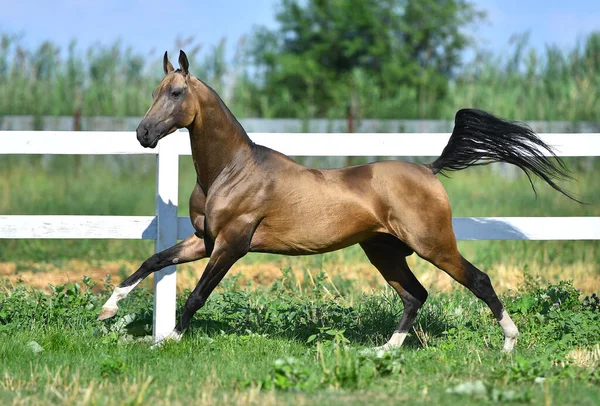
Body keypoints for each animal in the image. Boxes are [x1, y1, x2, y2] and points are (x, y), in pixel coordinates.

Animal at [99, 50, 580, 352]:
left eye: (176, 93)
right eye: (155, 92)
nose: (143, 134)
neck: (231, 171)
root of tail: (428, 170)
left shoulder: (232, 245)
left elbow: (197, 295)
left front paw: (168, 340)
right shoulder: (204, 240)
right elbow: (153, 261)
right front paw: (108, 309)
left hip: (434, 245)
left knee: (477, 280)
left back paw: (509, 343)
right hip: (384, 250)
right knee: (415, 295)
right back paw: (385, 350)